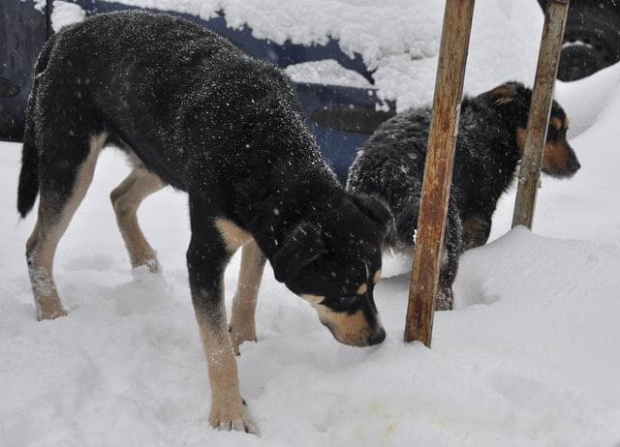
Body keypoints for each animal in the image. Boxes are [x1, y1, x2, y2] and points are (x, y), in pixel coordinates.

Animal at [18, 12, 388, 436]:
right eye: (343, 294)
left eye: (376, 285)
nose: (379, 337)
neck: (266, 150)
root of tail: (63, 32)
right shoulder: (206, 255)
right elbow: (216, 350)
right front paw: (229, 415)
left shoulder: (265, 232)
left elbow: (247, 293)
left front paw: (245, 341)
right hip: (71, 158)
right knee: (38, 246)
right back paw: (52, 313)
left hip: (156, 156)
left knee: (119, 197)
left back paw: (144, 261)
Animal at [346, 81, 580, 312]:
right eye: (551, 131)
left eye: (565, 130)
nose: (576, 166)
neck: (499, 124)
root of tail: (381, 172)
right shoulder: (479, 221)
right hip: (445, 240)